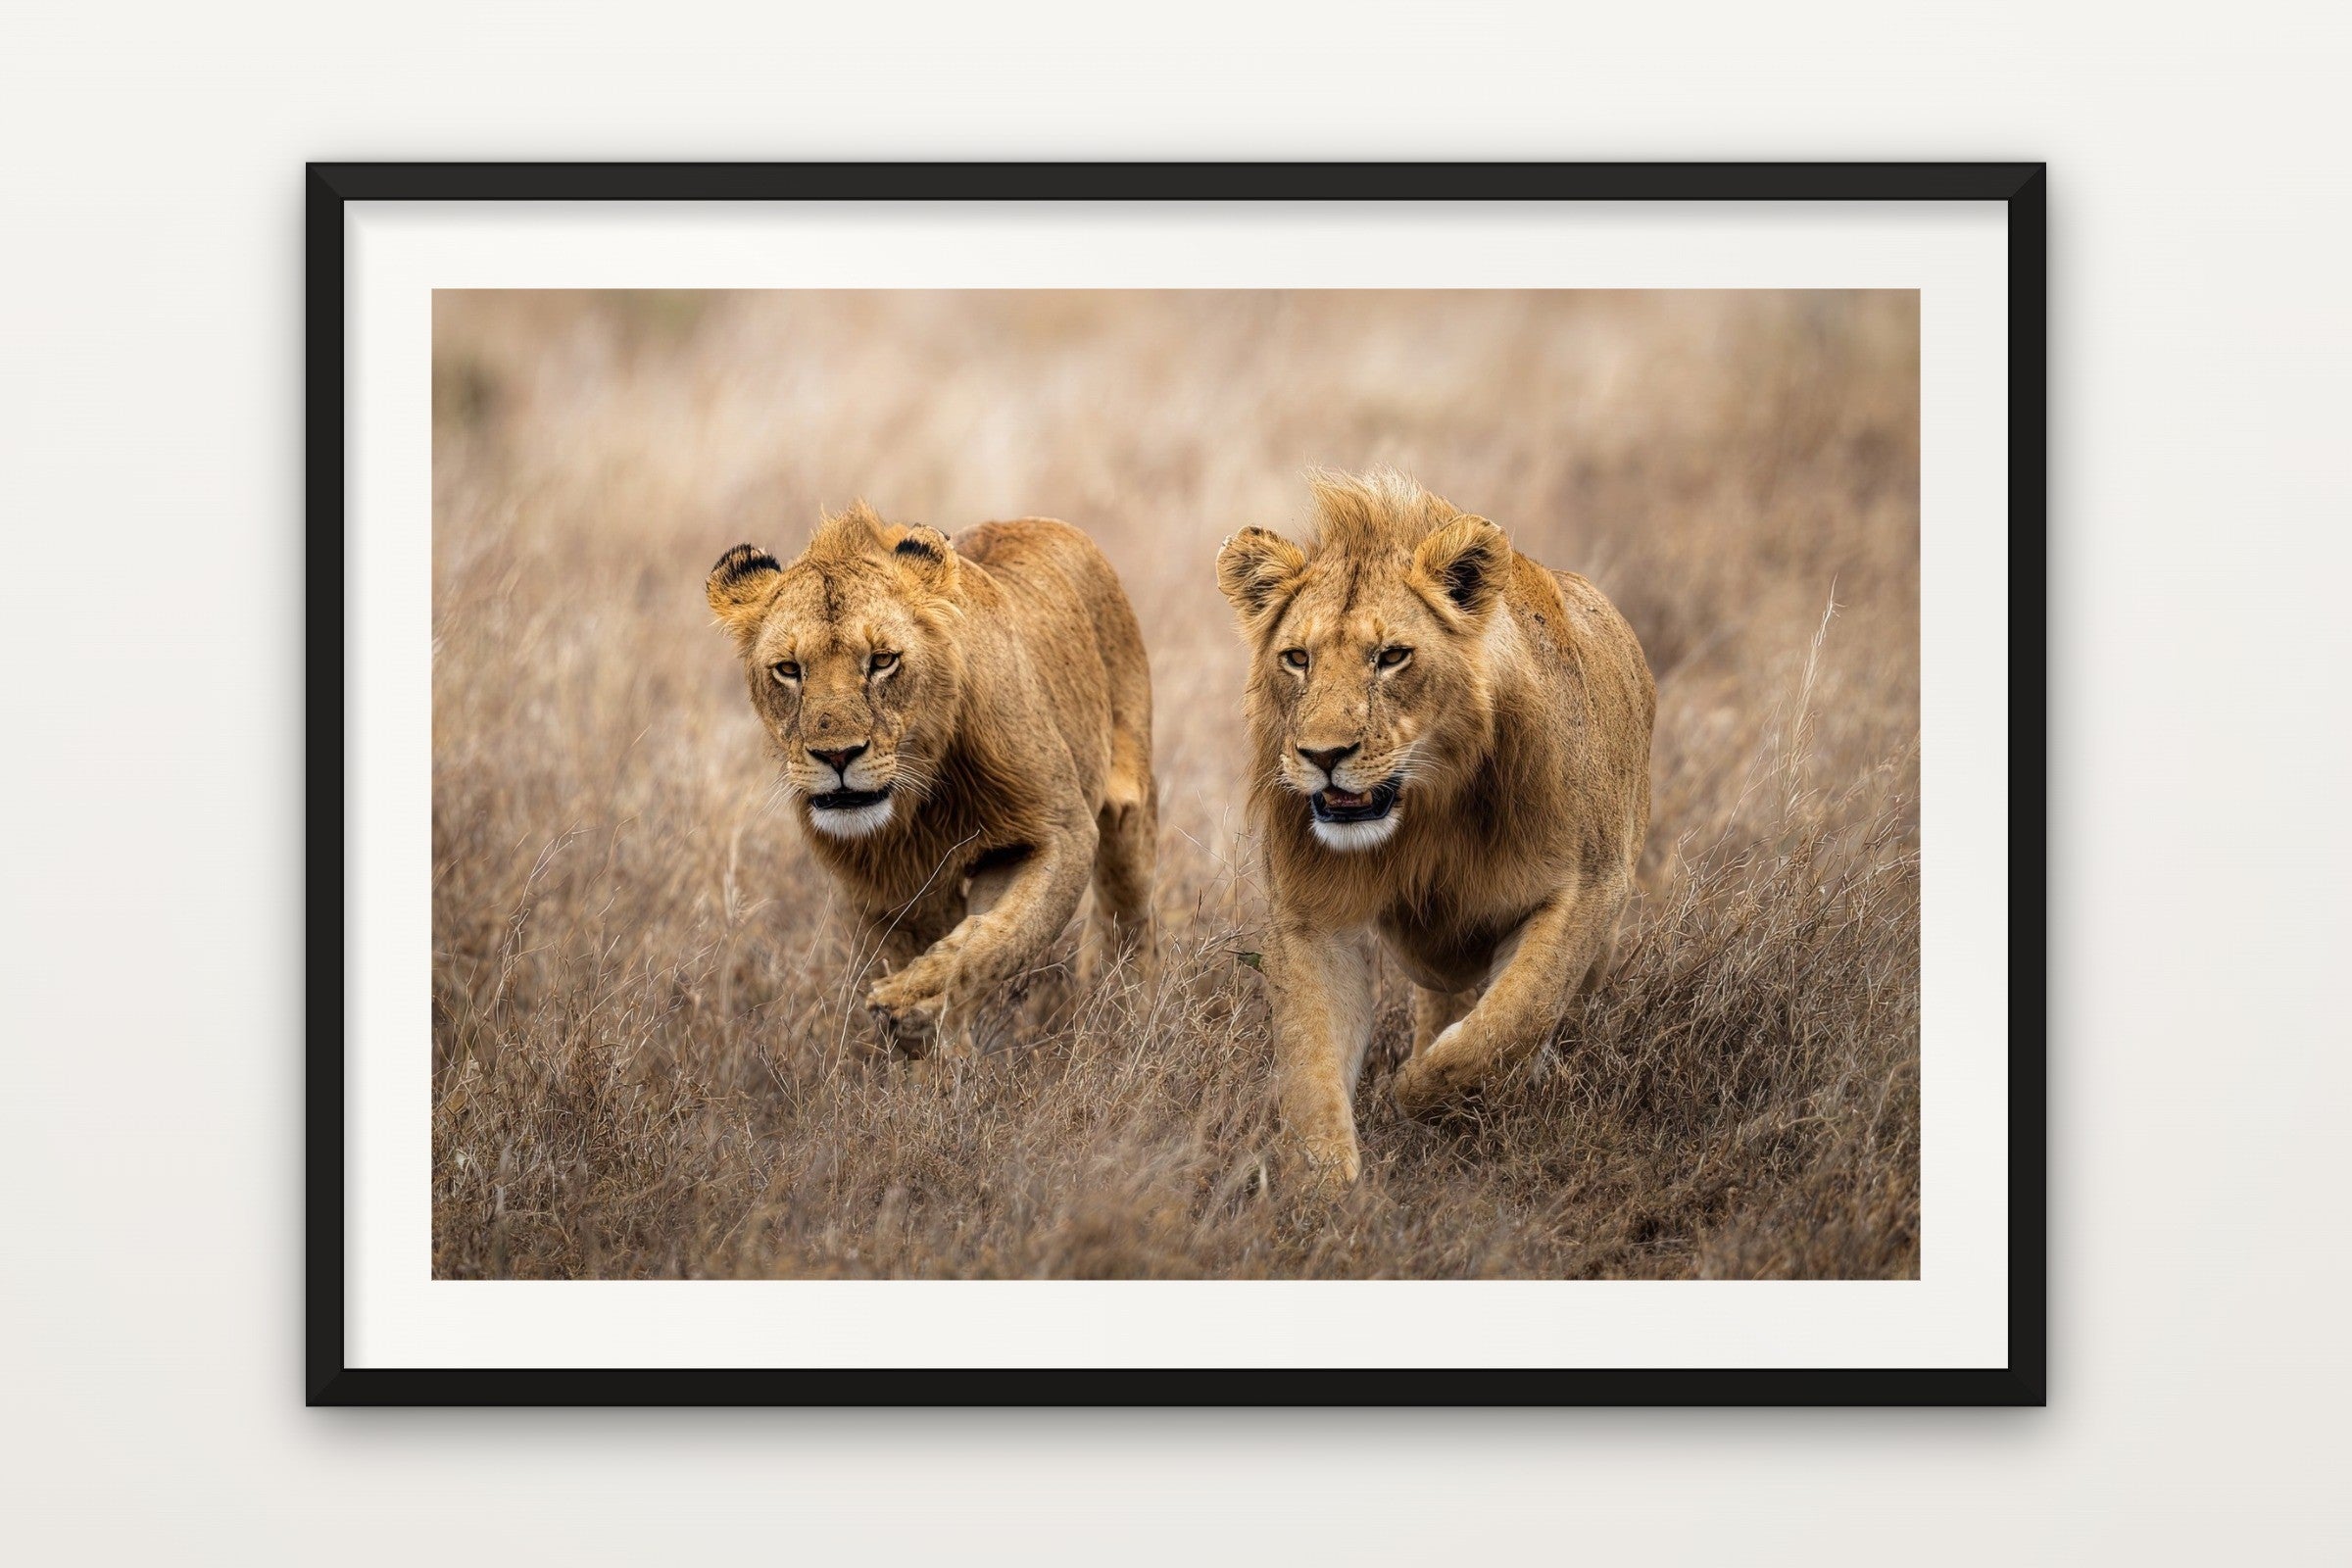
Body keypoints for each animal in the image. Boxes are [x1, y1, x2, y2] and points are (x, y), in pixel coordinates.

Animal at [707, 502, 1156, 1054]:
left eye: (882, 661)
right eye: (789, 670)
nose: (838, 755)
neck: (915, 805)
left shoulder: (1059, 830)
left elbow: (1000, 937)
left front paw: (914, 1001)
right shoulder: (882, 890)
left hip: (1127, 811)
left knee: (1127, 913)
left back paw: (1128, 1010)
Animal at [1215, 470, 1654, 1185]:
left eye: (1392, 656)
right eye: (1297, 657)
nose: (1323, 756)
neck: (1427, 814)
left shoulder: (1589, 886)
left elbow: (1511, 1019)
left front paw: (1422, 1090)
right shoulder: (1310, 916)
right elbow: (1311, 1062)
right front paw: (1322, 1190)